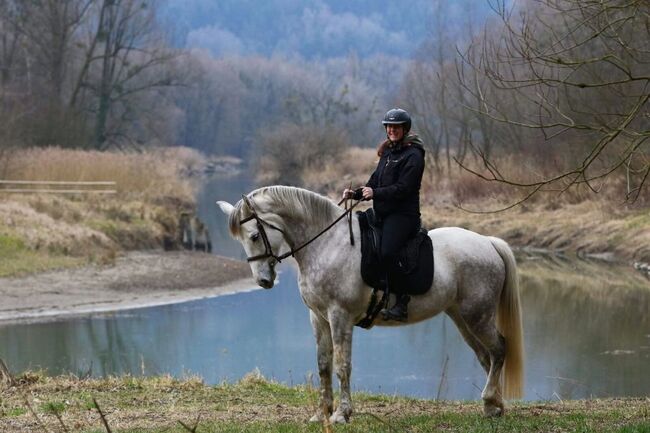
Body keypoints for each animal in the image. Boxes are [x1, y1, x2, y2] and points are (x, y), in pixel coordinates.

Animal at [218, 185, 520, 422]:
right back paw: (494, 406)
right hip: (462, 318)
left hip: (477, 316)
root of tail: (488, 242)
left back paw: (490, 400)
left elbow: (342, 365)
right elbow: (323, 364)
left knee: (499, 349)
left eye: (254, 236)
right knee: (486, 356)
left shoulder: (339, 316)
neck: (326, 245)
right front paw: (321, 413)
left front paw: (342, 414)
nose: (263, 281)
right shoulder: (318, 317)